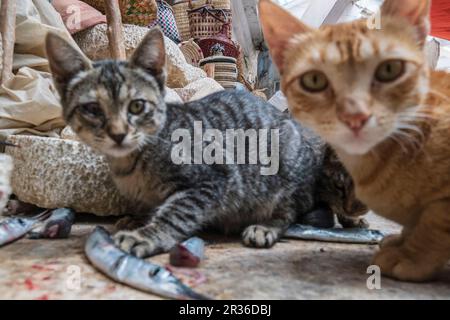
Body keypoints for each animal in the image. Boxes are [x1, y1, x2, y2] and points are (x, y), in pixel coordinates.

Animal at [46, 27, 366, 258]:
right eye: (92, 109)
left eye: (137, 106)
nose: (118, 133)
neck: (131, 162)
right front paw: (137, 219)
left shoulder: (215, 178)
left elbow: (176, 213)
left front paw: (147, 235)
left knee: (290, 210)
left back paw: (265, 226)